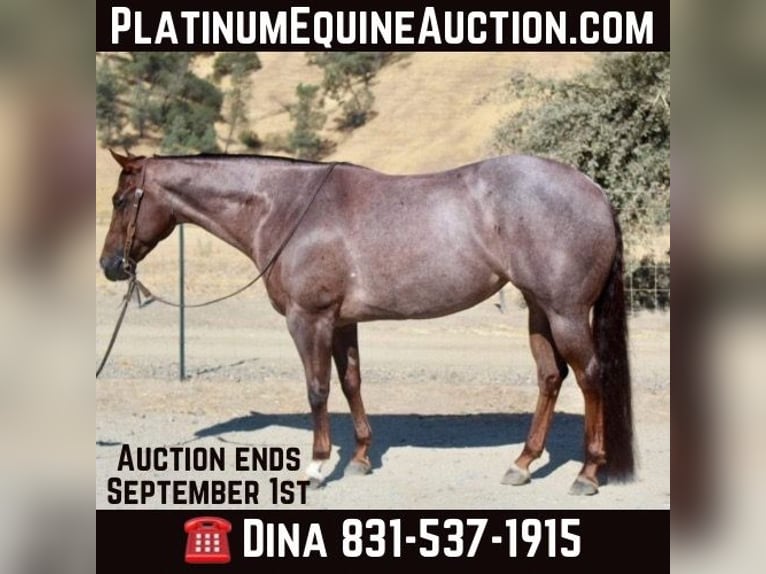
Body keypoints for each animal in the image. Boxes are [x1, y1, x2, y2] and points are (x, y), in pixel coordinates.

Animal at [99, 150, 634, 495]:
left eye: (121, 200)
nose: (109, 265)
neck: (288, 208)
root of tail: (594, 190)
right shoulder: (340, 322)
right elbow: (351, 382)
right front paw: (358, 458)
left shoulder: (308, 319)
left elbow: (317, 389)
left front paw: (318, 468)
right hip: (539, 309)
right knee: (550, 377)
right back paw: (521, 464)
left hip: (565, 312)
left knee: (589, 378)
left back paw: (587, 474)